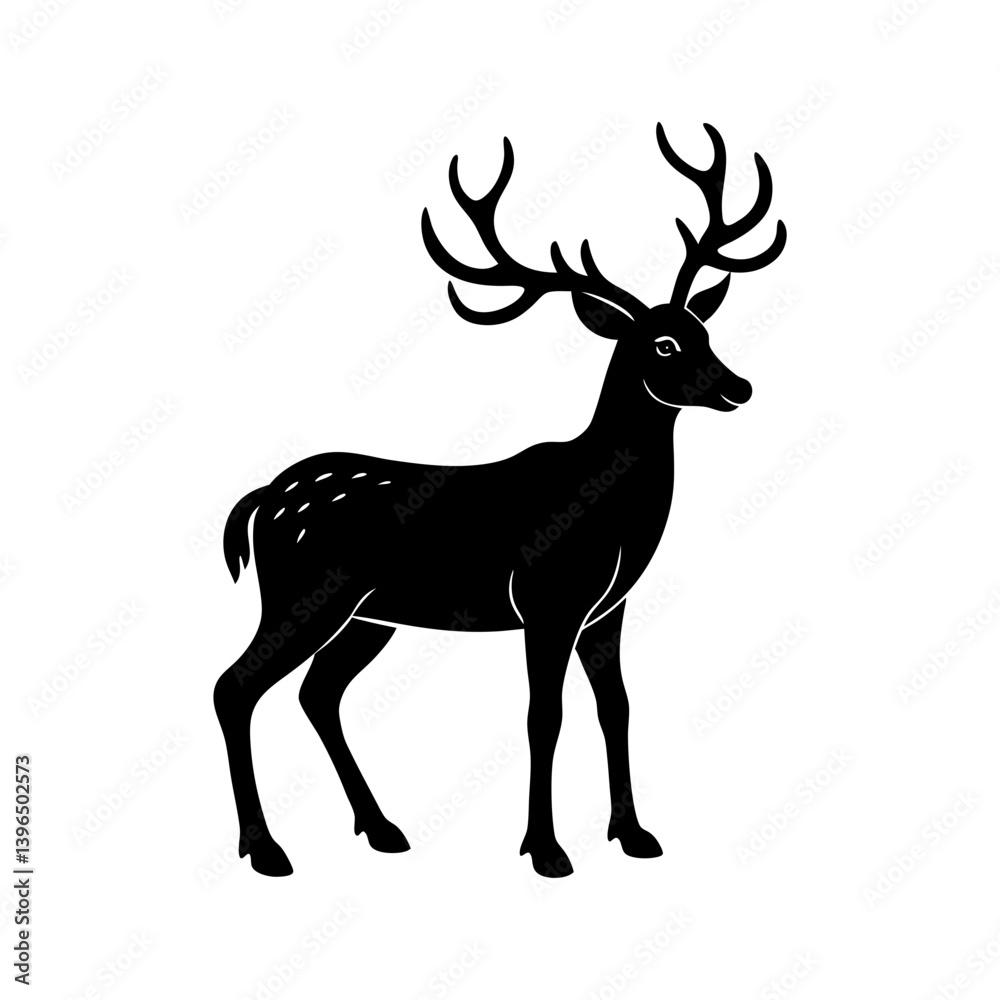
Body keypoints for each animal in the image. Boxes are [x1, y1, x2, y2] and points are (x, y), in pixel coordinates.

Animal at [213, 122, 786, 879]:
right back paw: (266, 848)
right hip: (303, 591)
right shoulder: (547, 598)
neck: (612, 512)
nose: (738, 387)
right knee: (236, 686)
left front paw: (634, 834)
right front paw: (546, 849)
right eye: (662, 344)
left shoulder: (607, 607)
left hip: (369, 614)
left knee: (317, 693)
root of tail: (259, 500)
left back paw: (381, 827)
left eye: (704, 329)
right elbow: (544, 716)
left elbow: (617, 707)